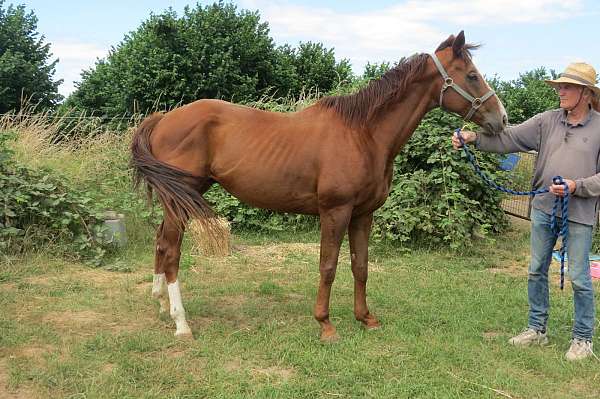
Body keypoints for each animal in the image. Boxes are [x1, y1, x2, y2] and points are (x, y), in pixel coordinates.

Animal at [130, 31, 506, 342]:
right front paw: (325, 325)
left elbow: (360, 266)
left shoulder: (363, 214)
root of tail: (163, 119)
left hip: (179, 198)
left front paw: (366, 319)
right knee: (172, 251)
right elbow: (328, 266)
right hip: (182, 200)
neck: (363, 134)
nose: (500, 119)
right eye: (472, 75)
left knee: (161, 243)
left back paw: (161, 303)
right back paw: (182, 323)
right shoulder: (335, 212)